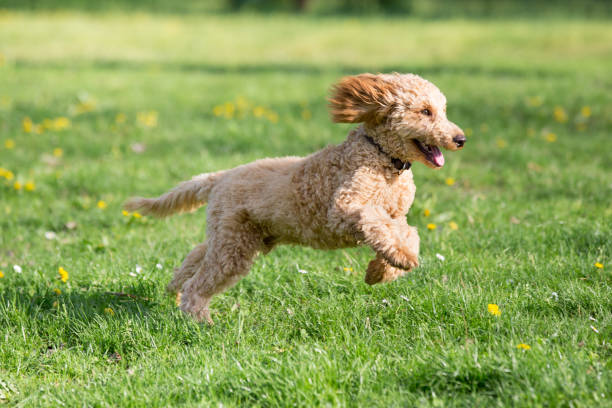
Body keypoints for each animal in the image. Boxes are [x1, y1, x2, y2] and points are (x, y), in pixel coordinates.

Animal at [126, 72, 466, 322]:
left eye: (444, 111)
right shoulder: (344, 208)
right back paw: (199, 320)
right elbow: (376, 224)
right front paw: (399, 258)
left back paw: (173, 289)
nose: (460, 139)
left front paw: (381, 270)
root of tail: (221, 177)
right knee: (199, 283)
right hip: (233, 248)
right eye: (425, 111)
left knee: (195, 256)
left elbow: (408, 234)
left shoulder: (397, 216)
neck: (382, 158)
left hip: (234, 237)